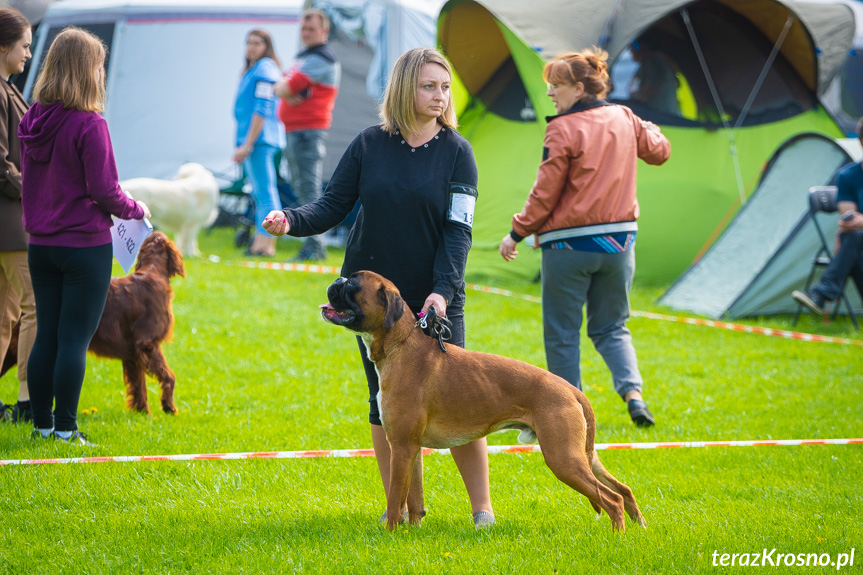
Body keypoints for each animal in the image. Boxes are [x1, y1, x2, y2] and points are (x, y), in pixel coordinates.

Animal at [1, 232, 184, 416]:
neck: (152, 272)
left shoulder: (133, 354)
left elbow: (139, 385)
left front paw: (143, 412)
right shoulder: (147, 344)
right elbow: (169, 376)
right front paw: (168, 407)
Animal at [320, 272, 644, 532]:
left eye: (352, 285)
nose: (337, 279)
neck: (400, 346)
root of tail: (571, 389)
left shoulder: (400, 447)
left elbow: (395, 496)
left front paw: (390, 533)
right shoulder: (410, 448)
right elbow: (412, 498)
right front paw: (411, 531)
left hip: (563, 458)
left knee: (612, 498)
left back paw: (618, 537)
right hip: (584, 455)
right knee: (624, 489)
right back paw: (639, 527)